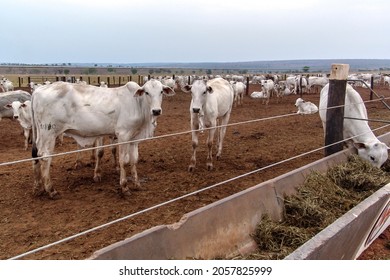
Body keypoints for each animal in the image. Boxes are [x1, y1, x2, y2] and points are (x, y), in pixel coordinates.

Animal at [31, 80, 174, 198]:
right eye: (147, 92)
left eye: (161, 91)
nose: (156, 111)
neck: (137, 104)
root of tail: (38, 90)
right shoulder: (123, 135)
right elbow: (124, 161)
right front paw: (124, 186)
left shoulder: (134, 139)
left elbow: (134, 160)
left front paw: (137, 183)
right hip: (49, 133)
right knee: (45, 157)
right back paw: (51, 190)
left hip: (40, 134)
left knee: (37, 154)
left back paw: (38, 186)